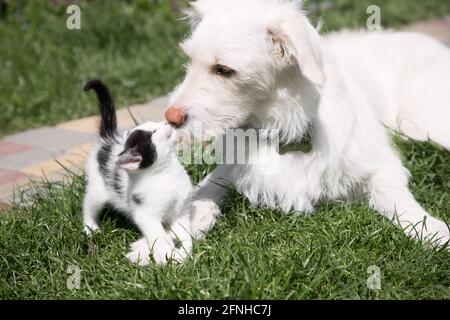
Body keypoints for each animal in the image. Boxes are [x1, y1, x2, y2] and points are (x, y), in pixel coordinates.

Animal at [83, 79, 192, 264]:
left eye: (154, 125)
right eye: (153, 132)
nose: (165, 122)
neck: (168, 173)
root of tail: (108, 140)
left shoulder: (181, 211)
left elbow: (185, 233)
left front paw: (184, 253)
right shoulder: (146, 214)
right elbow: (159, 236)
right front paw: (165, 257)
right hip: (98, 187)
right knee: (88, 205)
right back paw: (90, 228)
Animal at [165, 0, 450, 249]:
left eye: (224, 70)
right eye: (189, 59)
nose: (170, 118)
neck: (281, 125)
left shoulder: (380, 163)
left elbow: (393, 194)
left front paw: (430, 228)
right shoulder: (235, 165)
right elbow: (209, 186)